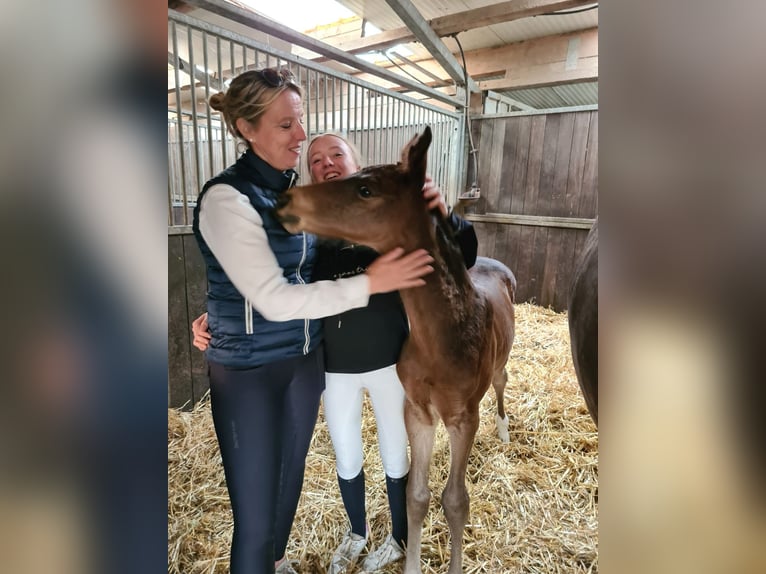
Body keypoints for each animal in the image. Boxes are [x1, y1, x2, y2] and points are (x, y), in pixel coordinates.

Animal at [280, 127, 520, 574]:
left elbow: (455, 501)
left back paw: (503, 429)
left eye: (365, 189)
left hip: (497, 368)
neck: (441, 340)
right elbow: (416, 495)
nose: (284, 202)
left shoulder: (463, 418)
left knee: (501, 381)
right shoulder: (418, 412)